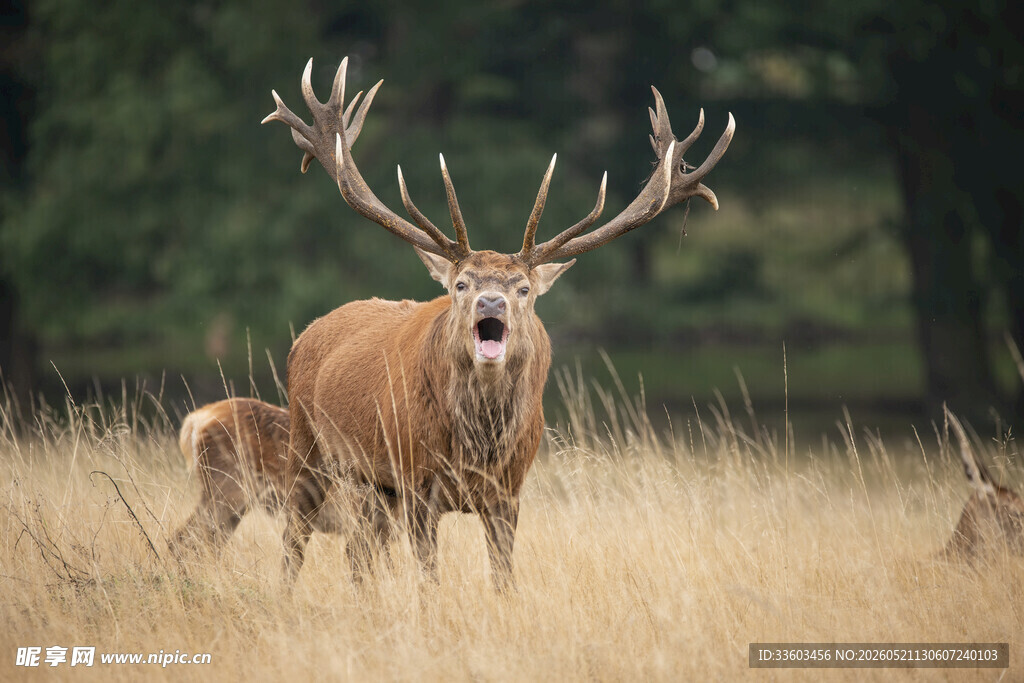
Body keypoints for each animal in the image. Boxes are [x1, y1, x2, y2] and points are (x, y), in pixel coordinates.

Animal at [262, 56, 734, 590]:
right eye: (461, 284)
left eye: (523, 288)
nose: (492, 302)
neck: (478, 448)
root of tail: (306, 335)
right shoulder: (418, 482)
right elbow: (429, 579)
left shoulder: (510, 490)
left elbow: (504, 577)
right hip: (309, 449)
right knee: (295, 542)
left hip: (373, 486)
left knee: (359, 555)